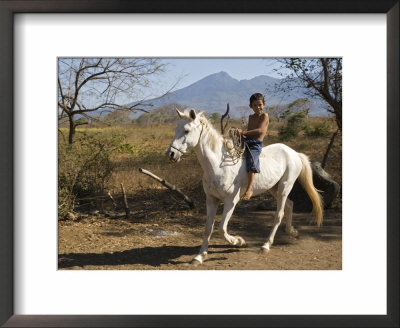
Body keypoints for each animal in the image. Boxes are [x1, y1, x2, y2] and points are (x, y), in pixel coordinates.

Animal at [164, 109, 324, 266]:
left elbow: (221, 229)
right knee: (290, 205)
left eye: (186, 130)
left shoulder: (231, 201)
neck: (218, 165)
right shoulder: (211, 200)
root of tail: (294, 153)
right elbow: (208, 229)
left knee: (279, 214)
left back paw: (266, 245)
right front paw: (199, 256)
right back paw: (292, 232)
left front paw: (239, 241)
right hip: (274, 188)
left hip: (285, 186)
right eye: (176, 129)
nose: (170, 154)